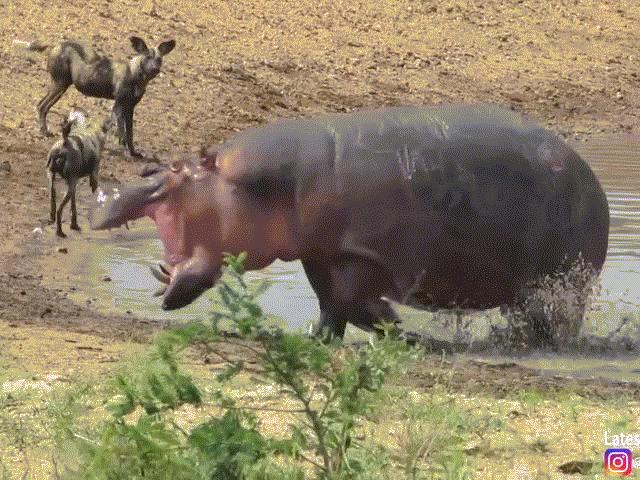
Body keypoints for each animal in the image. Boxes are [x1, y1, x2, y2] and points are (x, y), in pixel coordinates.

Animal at [38, 38, 176, 158]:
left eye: (159, 59)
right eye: (147, 57)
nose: (155, 69)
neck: (135, 75)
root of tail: (57, 46)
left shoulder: (130, 107)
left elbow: (130, 133)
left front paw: (133, 153)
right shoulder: (119, 105)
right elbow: (122, 134)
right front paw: (124, 151)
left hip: (61, 87)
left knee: (43, 106)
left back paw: (45, 131)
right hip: (60, 85)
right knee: (41, 106)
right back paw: (44, 133)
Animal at [47, 108, 112, 237]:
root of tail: (65, 142)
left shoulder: (74, 183)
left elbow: (73, 206)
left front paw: (74, 224)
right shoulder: (93, 178)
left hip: (54, 181)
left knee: (53, 203)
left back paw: (52, 219)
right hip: (69, 187)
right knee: (59, 210)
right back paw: (59, 231)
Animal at [90, 105, 608, 344]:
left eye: (180, 171)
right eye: (165, 163)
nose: (118, 186)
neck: (276, 183)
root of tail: (591, 177)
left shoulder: (361, 255)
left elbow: (352, 303)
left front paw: (402, 330)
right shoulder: (321, 254)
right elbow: (330, 305)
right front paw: (317, 339)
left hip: (561, 282)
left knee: (554, 322)